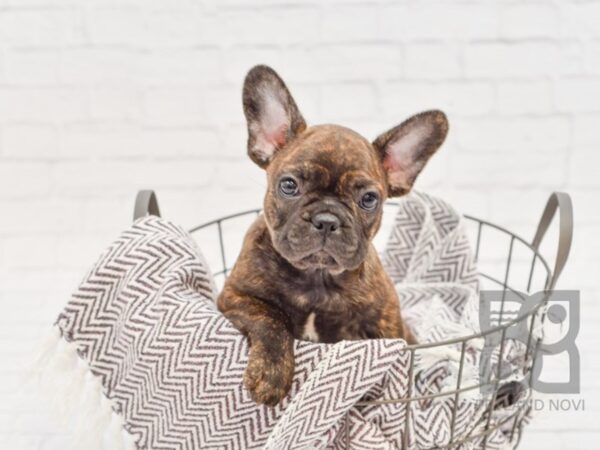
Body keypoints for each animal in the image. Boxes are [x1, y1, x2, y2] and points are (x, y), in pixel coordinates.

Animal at [218, 65, 448, 406]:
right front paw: (270, 374)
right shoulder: (235, 296)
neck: (317, 277)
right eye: (289, 185)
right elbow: (271, 318)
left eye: (369, 199)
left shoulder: (387, 326)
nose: (326, 220)